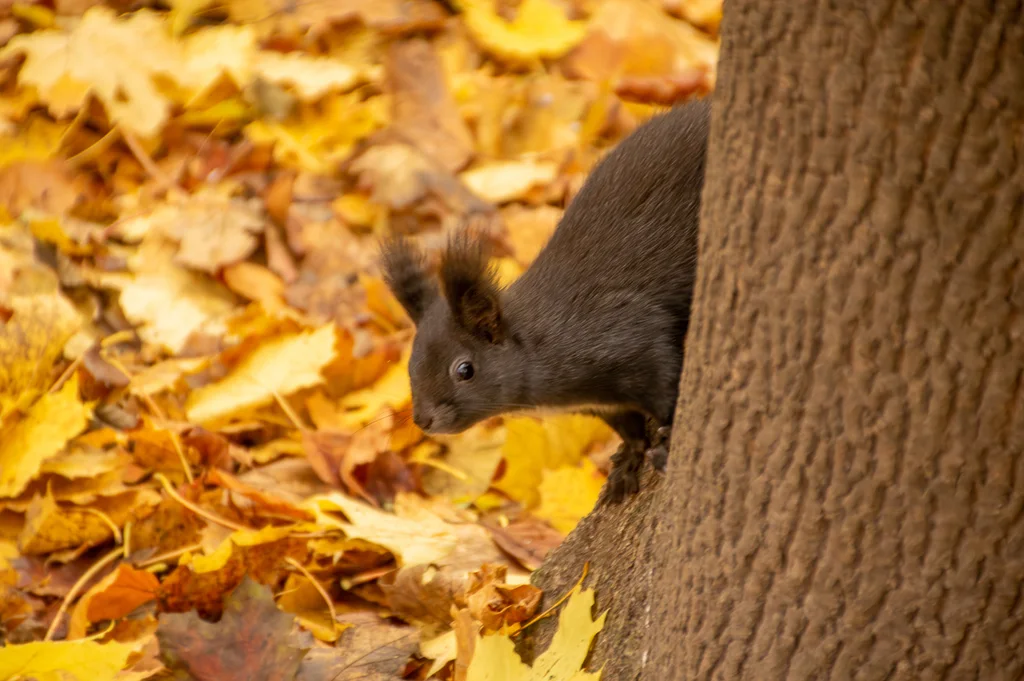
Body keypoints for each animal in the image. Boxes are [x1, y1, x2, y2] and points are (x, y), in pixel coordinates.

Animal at [381, 98, 710, 502]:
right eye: (410, 366)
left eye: (465, 370)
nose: (423, 419)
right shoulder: (604, 405)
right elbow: (629, 428)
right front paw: (628, 462)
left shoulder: (633, 340)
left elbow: (666, 390)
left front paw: (665, 443)